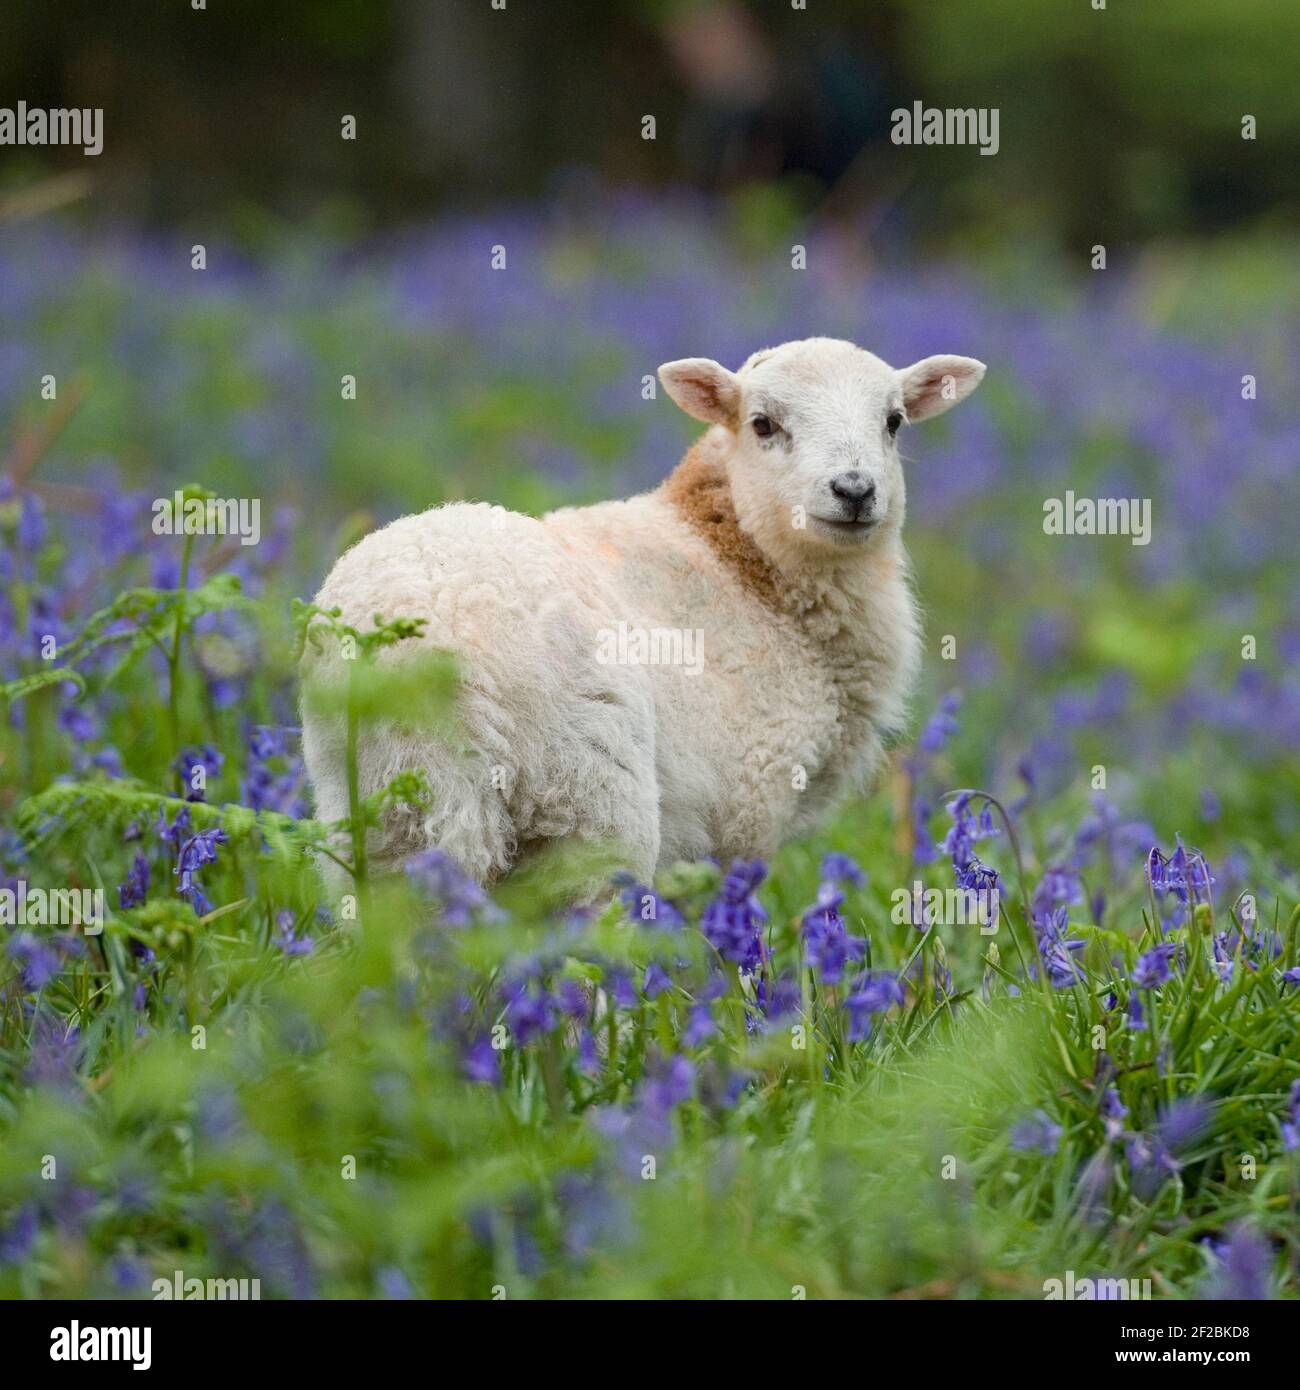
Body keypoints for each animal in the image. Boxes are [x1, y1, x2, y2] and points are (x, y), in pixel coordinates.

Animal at [297, 341, 984, 895]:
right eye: (762, 424)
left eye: (893, 422)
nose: (854, 490)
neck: (746, 567)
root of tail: (427, 643)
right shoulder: (747, 809)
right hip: (587, 800)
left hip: (379, 812)